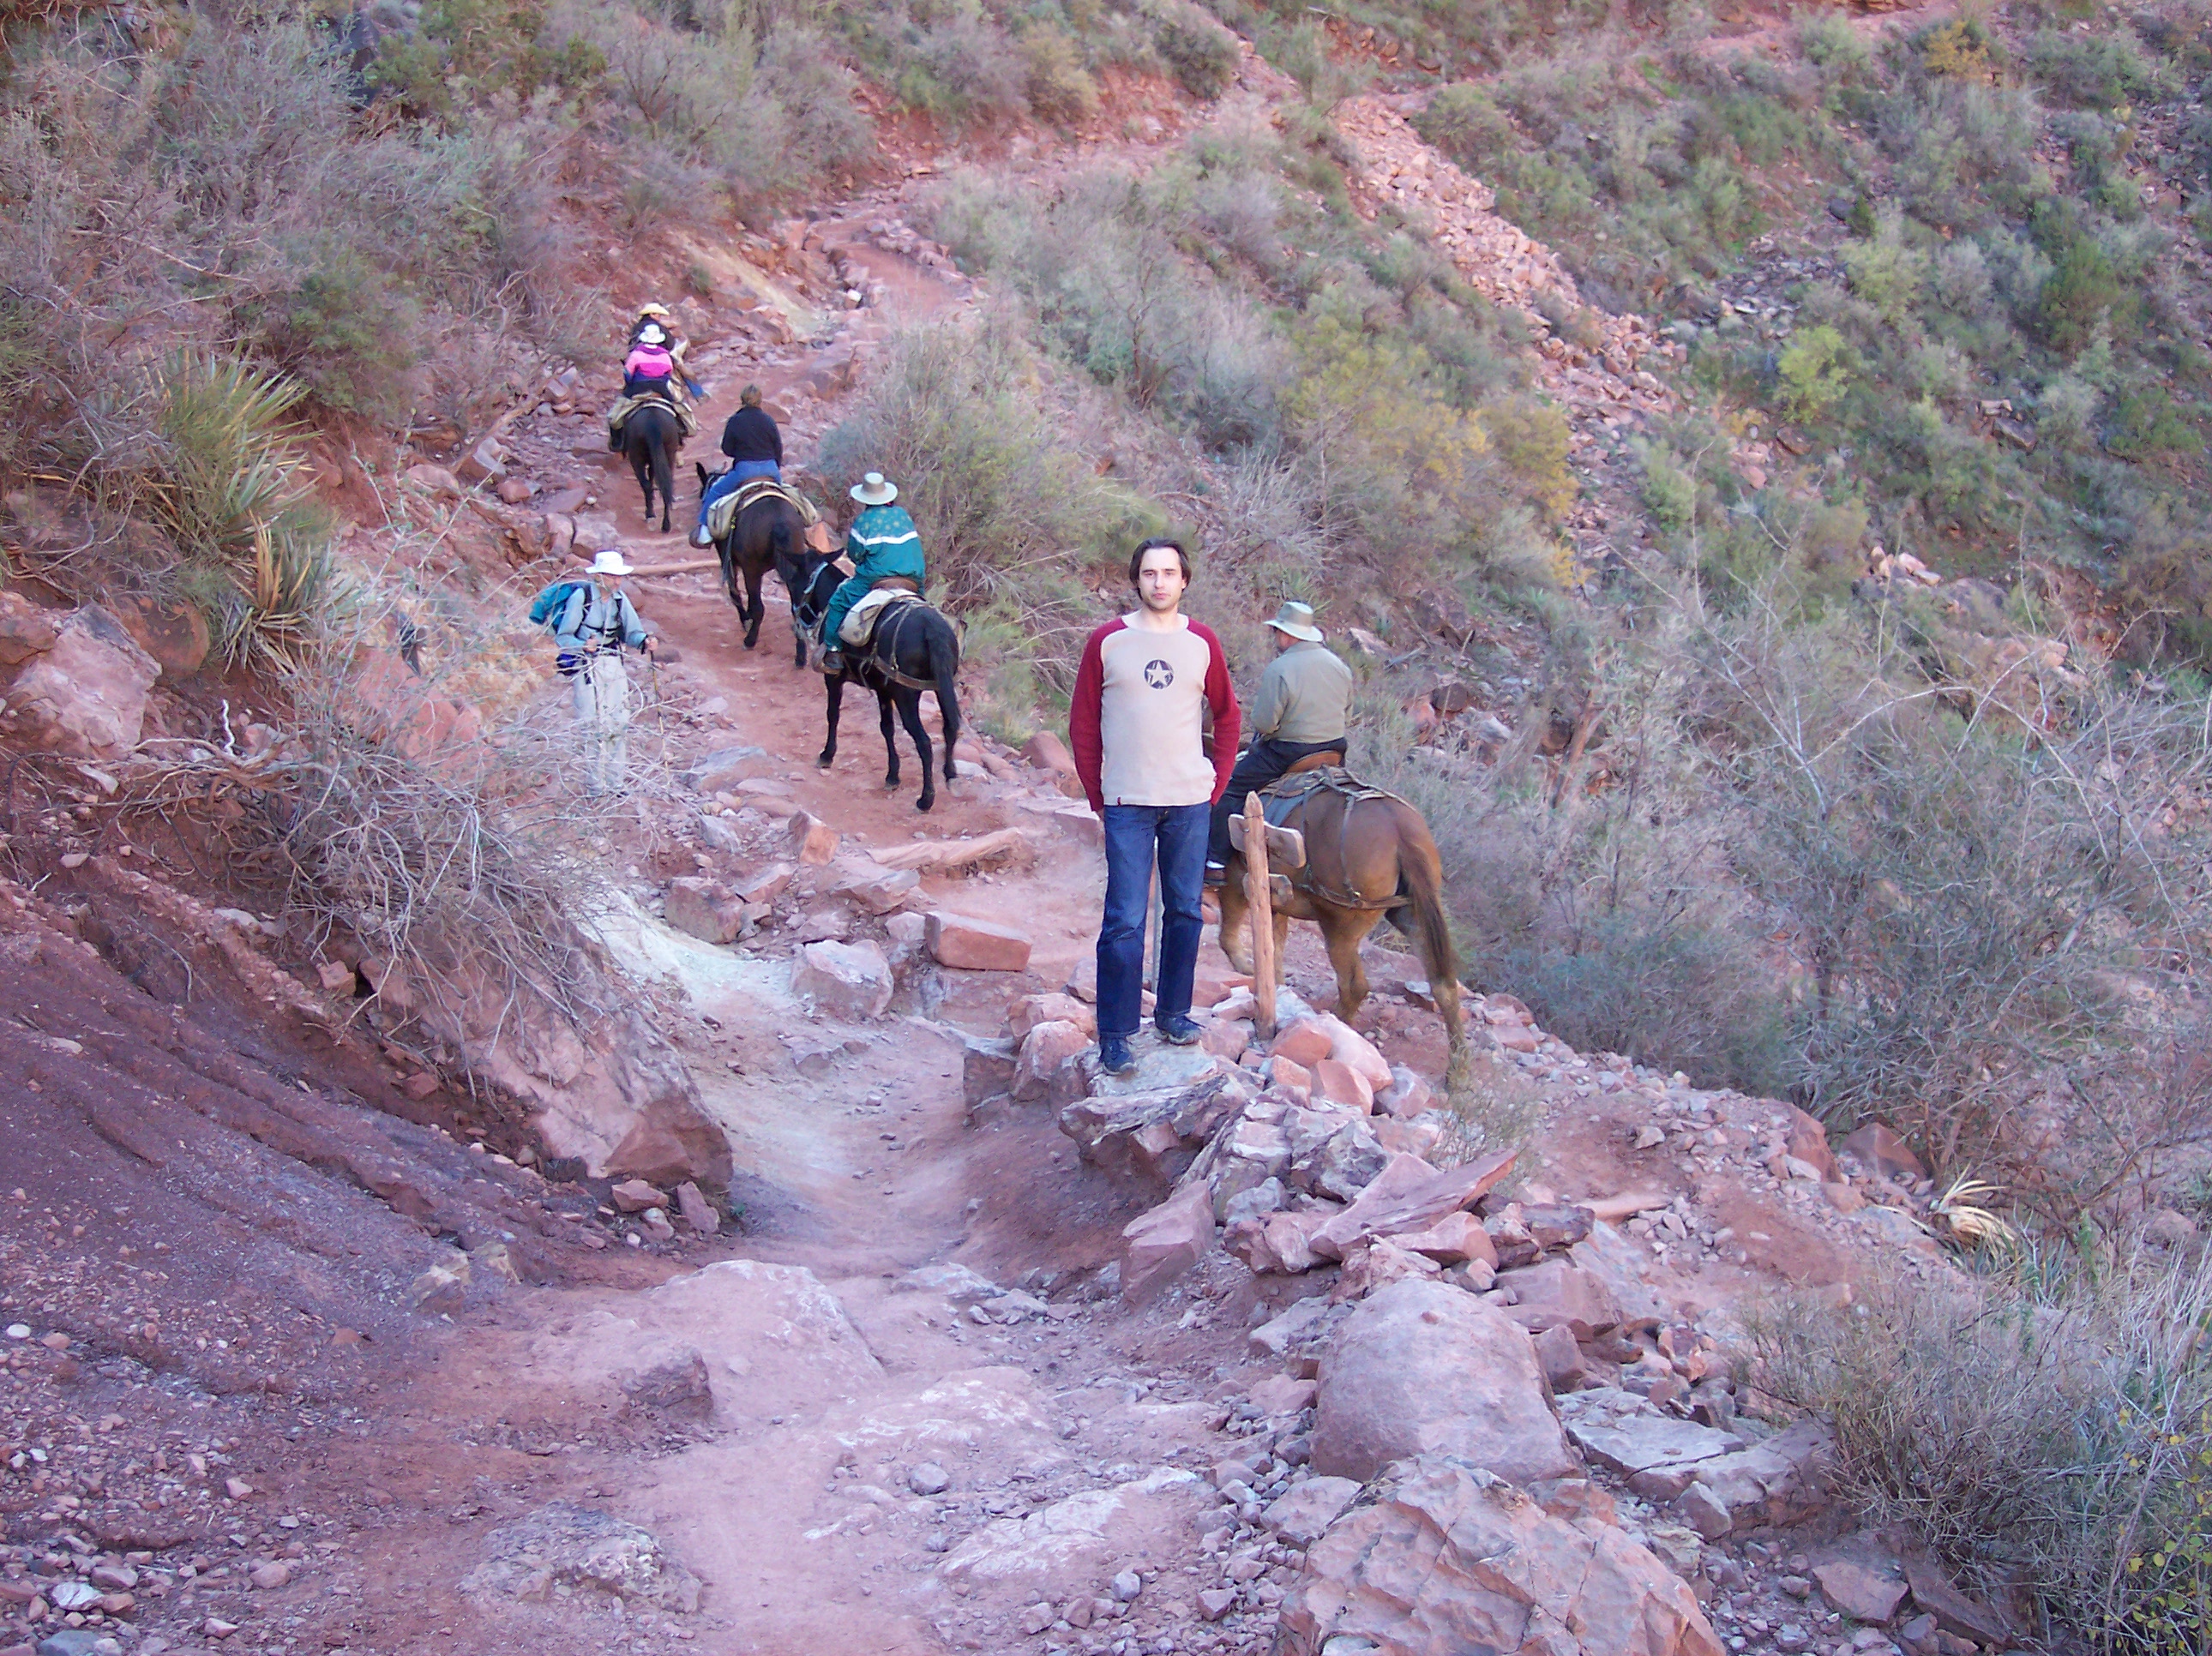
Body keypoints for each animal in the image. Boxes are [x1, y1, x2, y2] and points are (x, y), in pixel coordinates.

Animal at [622, 400, 682, 534]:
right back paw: (666, 525)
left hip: (636, 457)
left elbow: (648, 481)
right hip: (668, 453)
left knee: (646, 484)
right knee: (665, 485)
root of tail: (653, 423)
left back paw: (650, 514)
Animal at [696, 464, 809, 655]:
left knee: (759, 607)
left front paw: (745, 620)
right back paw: (800, 654)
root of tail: (778, 520)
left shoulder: (728, 559)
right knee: (797, 607)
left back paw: (750, 640)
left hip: (752, 569)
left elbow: (734, 591)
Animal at [790, 553, 963, 813]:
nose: (796, 616)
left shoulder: (833, 679)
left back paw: (926, 799)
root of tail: (931, 628)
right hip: (941, 687)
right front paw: (893, 776)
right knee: (950, 727)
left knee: (924, 742)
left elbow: (833, 714)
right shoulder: (883, 690)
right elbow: (886, 728)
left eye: (799, 577)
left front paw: (827, 755)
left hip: (906, 696)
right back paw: (950, 777)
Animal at [1216, 770, 1470, 1090]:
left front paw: (1248, 970)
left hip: (1340, 923)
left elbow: (1233, 933)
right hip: (1413, 912)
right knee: (1443, 985)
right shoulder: (1276, 900)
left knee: (1355, 986)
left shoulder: (1240, 881)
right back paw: (1457, 1071)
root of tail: (1400, 830)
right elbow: (1274, 950)